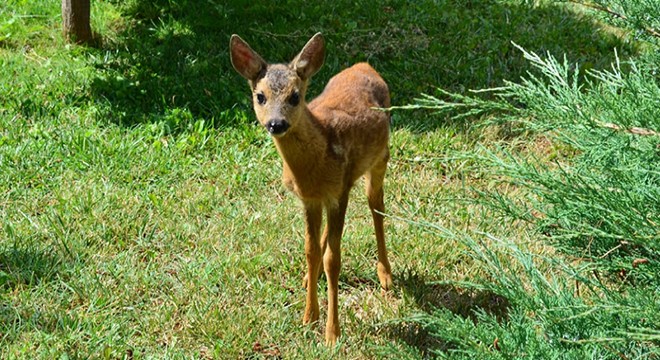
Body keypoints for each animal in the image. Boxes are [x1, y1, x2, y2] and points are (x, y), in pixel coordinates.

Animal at [231, 32, 392, 344]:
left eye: (295, 96)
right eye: (260, 96)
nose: (276, 123)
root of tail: (365, 65)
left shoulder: (337, 193)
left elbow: (333, 259)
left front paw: (332, 333)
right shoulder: (310, 199)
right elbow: (311, 251)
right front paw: (308, 317)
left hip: (381, 157)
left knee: (376, 205)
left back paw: (386, 275)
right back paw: (310, 278)